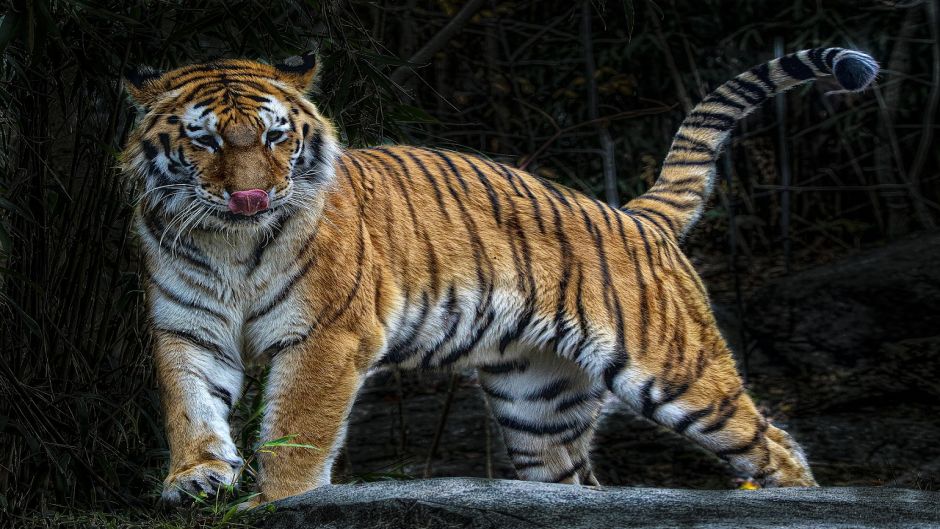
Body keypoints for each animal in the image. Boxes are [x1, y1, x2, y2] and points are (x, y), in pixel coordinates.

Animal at [121, 47, 878, 506]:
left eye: (276, 136)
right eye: (203, 139)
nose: (251, 197)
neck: (228, 241)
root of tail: (634, 213)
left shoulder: (326, 338)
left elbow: (297, 430)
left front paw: (278, 499)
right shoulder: (187, 329)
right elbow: (191, 405)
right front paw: (196, 477)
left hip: (679, 374)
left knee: (775, 444)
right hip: (537, 406)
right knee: (577, 480)